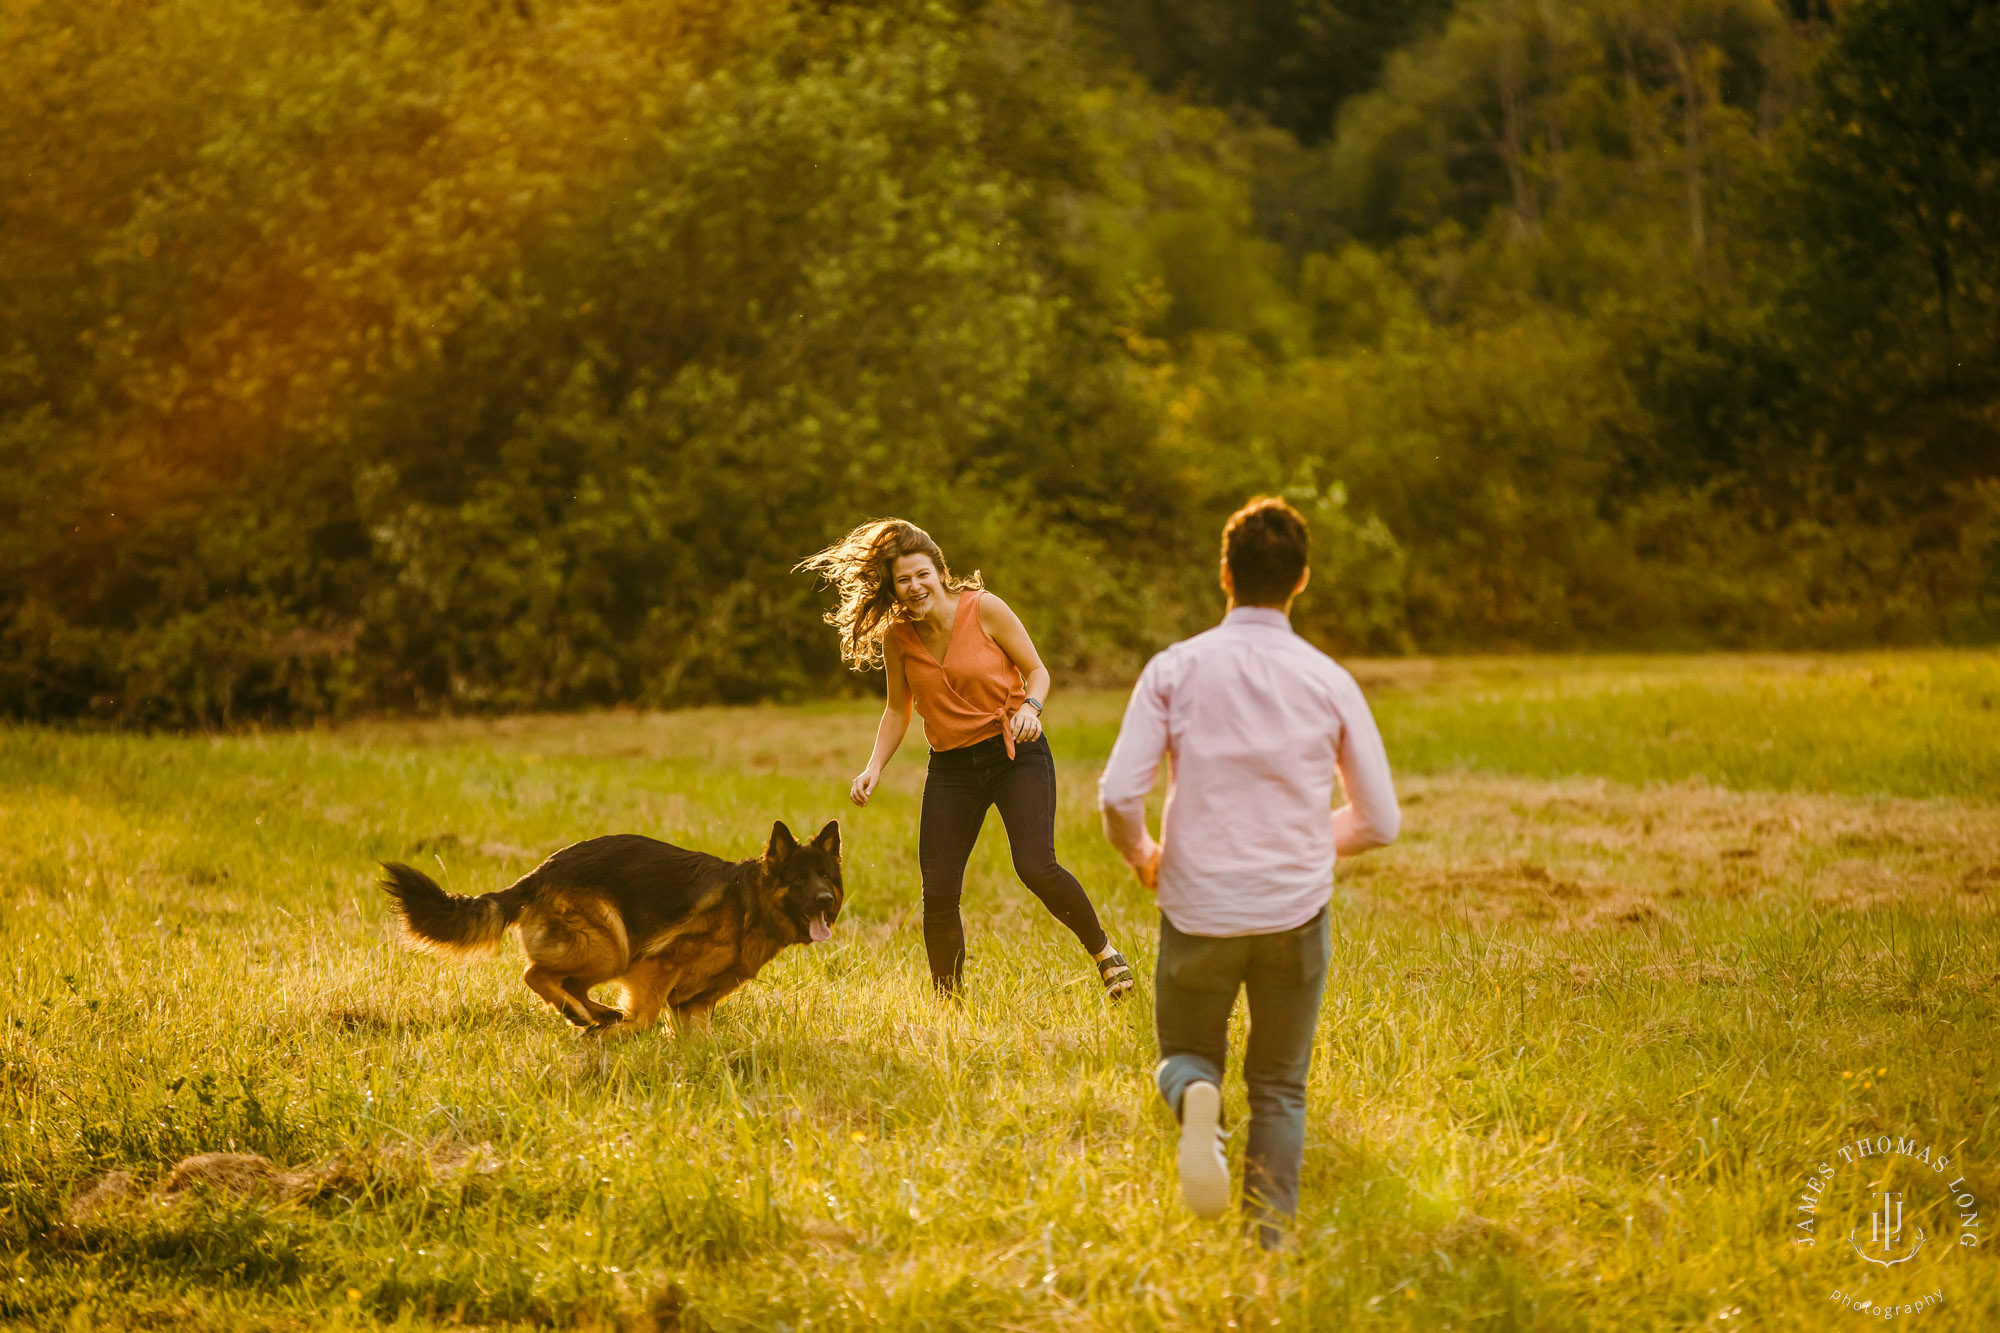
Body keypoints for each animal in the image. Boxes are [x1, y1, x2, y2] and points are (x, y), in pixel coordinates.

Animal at [378, 816, 840, 1032]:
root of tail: (538, 873)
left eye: (826, 876)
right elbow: (646, 1015)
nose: (826, 900)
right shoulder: (658, 966)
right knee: (535, 974)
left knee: (567, 984)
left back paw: (593, 1013)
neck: (750, 905)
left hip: (607, 952)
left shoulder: (694, 1004)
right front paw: (629, 1031)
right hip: (613, 949)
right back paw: (585, 1016)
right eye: (799, 880)